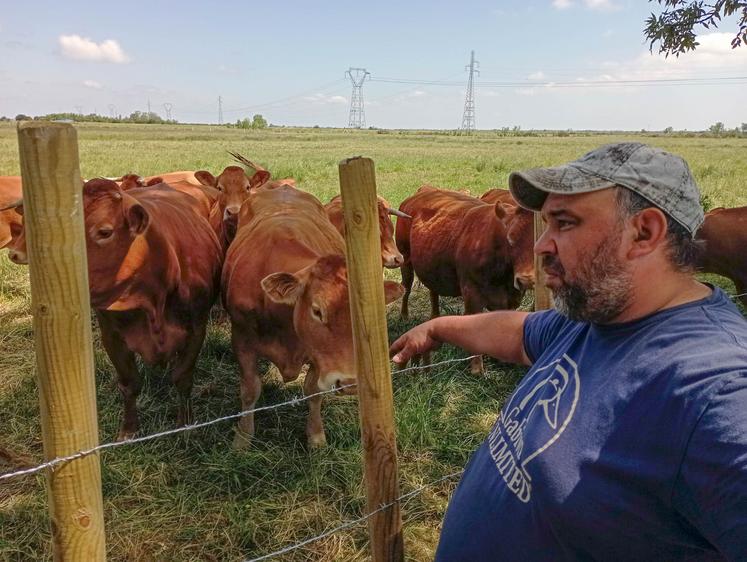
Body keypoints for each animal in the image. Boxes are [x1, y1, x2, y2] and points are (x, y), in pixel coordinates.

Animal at [8, 179, 222, 438]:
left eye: (104, 232)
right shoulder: (112, 336)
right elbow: (129, 383)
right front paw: (128, 430)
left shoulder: (196, 329)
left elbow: (182, 378)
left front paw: (185, 426)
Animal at [222, 184, 404, 446]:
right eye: (317, 311)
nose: (349, 382)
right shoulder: (242, 341)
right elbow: (249, 390)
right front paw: (243, 437)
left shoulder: (319, 354)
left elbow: (314, 391)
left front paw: (316, 435)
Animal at [398, 184, 532, 374]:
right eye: (510, 238)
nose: (527, 279)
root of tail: (425, 189)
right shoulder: (471, 294)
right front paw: (477, 370)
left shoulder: (513, 298)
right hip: (405, 257)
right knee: (406, 287)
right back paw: (404, 316)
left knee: (433, 291)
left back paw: (434, 316)